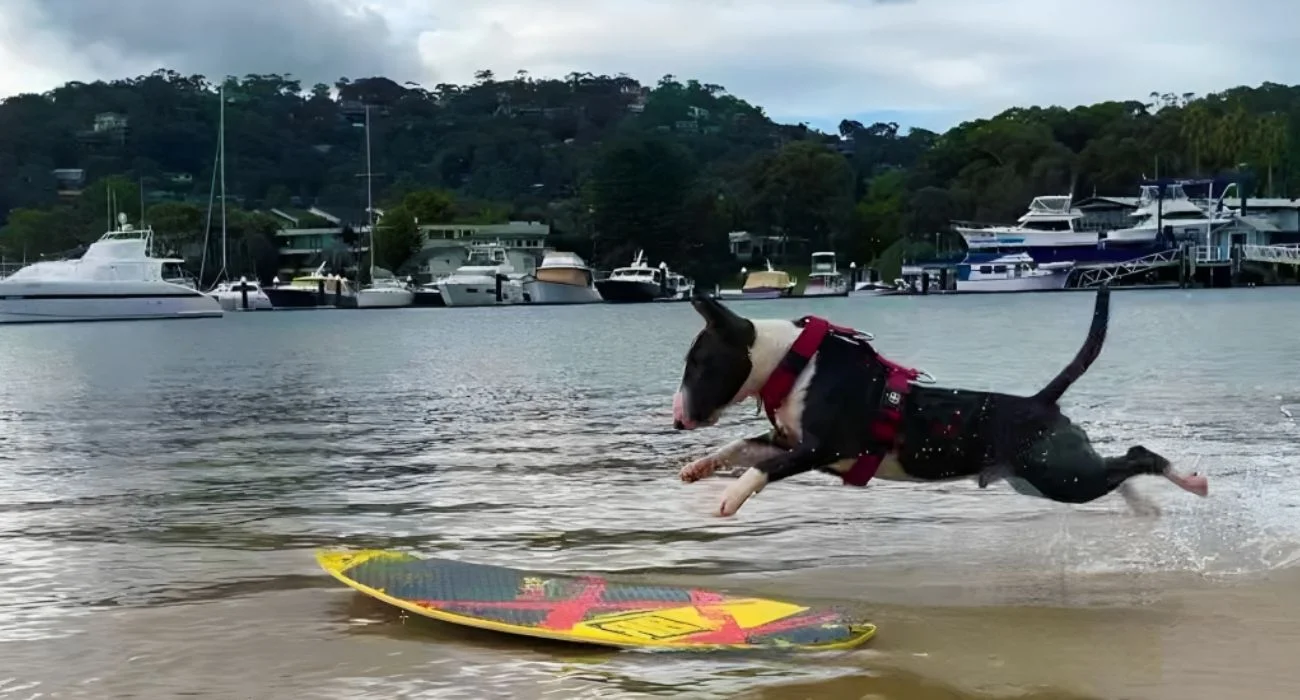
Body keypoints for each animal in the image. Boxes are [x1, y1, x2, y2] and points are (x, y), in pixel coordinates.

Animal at [670, 284, 1206, 517]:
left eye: (697, 364)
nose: (677, 420)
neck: (794, 362)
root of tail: (1042, 401)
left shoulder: (823, 448)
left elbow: (763, 468)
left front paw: (731, 497)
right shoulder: (790, 441)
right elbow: (740, 448)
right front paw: (698, 467)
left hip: (1058, 475)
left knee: (1138, 455)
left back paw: (1192, 482)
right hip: (1046, 477)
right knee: (1117, 469)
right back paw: (1143, 505)